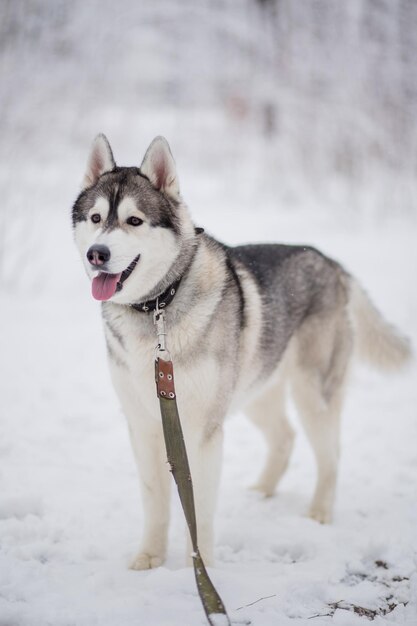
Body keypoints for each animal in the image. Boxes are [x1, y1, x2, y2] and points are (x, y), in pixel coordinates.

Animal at [71, 134, 410, 568]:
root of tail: (330, 262)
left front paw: (199, 563)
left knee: (331, 454)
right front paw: (150, 558)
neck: (159, 307)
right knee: (285, 437)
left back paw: (319, 511)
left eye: (134, 221)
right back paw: (262, 491)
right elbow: (154, 500)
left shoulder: (202, 431)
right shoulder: (143, 424)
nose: (97, 253)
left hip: (311, 392)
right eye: (96, 218)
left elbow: (199, 505)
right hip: (256, 390)